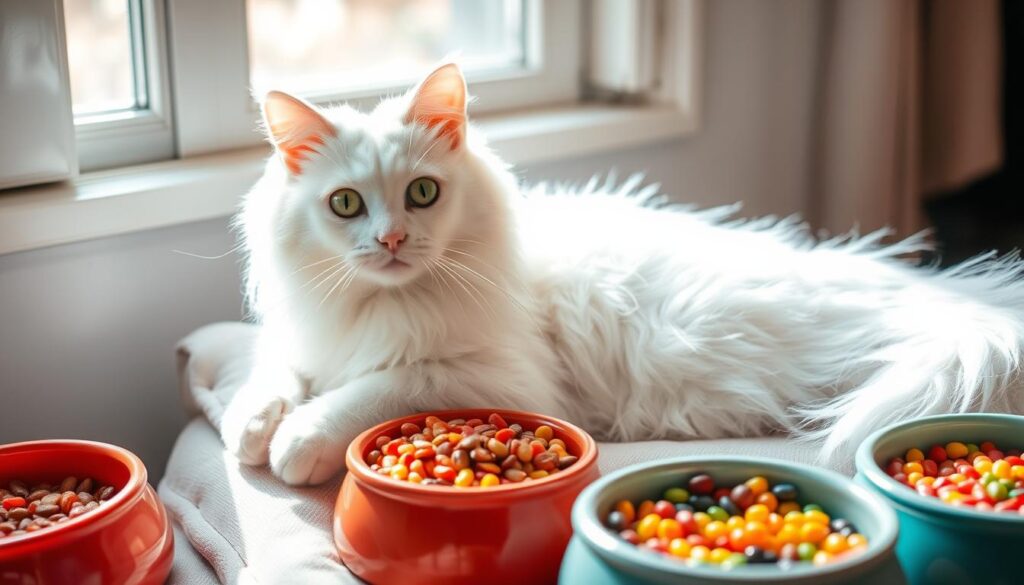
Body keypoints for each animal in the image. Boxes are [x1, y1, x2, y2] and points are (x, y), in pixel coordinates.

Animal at [224, 63, 1024, 485]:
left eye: (423, 193)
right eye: (345, 204)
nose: (390, 239)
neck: (377, 304)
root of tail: (933, 290)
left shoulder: (483, 376)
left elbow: (364, 392)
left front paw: (294, 444)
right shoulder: (304, 336)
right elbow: (271, 375)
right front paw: (248, 430)